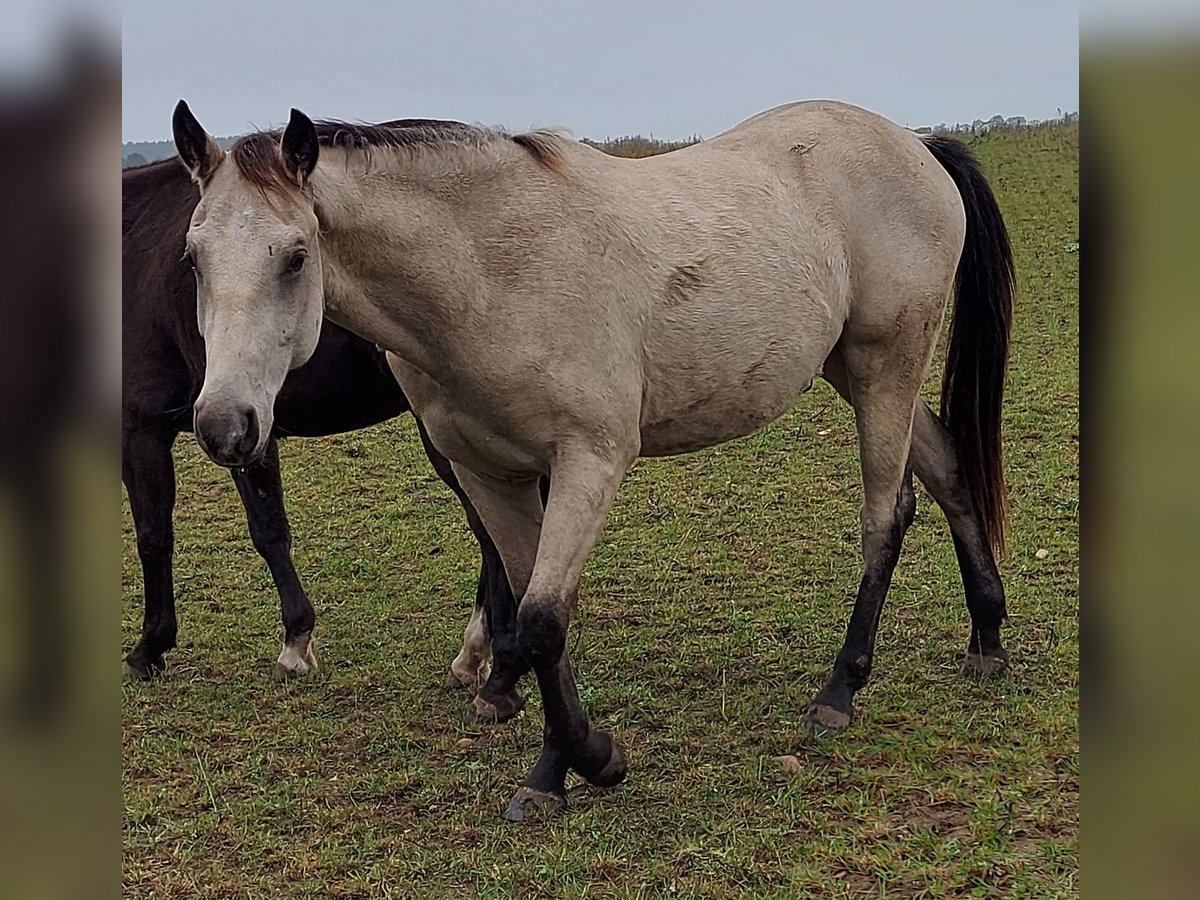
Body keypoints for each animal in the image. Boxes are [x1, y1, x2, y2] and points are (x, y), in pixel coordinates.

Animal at [170, 98, 1014, 821]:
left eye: (295, 255)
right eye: (193, 257)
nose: (224, 425)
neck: (494, 275)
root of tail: (916, 144)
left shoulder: (591, 459)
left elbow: (544, 620)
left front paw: (580, 764)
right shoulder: (490, 473)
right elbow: (528, 610)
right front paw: (565, 760)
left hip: (885, 364)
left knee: (885, 516)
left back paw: (840, 691)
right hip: (852, 367)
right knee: (947, 472)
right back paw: (987, 638)